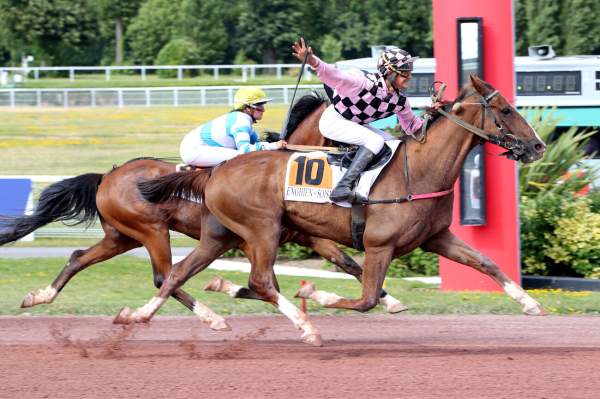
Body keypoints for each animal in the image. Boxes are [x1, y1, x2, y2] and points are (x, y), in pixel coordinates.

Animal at [0, 92, 406, 330]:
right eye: (350, 120)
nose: (376, 146)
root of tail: (107, 176)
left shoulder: (303, 234)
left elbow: (347, 262)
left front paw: (391, 301)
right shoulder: (259, 236)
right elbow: (267, 283)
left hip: (121, 236)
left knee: (79, 257)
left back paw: (40, 296)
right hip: (151, 230)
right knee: (163, 276)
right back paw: (210, 317)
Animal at [117, 76, 548, 346]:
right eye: (505, 110)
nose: (539, 146)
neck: (420, 170)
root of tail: (218, 168)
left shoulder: (437, 237)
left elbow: (486, 262)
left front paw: (531, 304)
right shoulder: (378, 246)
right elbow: (366, 298)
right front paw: (317, 293)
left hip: (221, 235)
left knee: (177, 274)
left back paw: (143, 315)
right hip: (261, 230)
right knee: (261, 281)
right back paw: (305, 326)